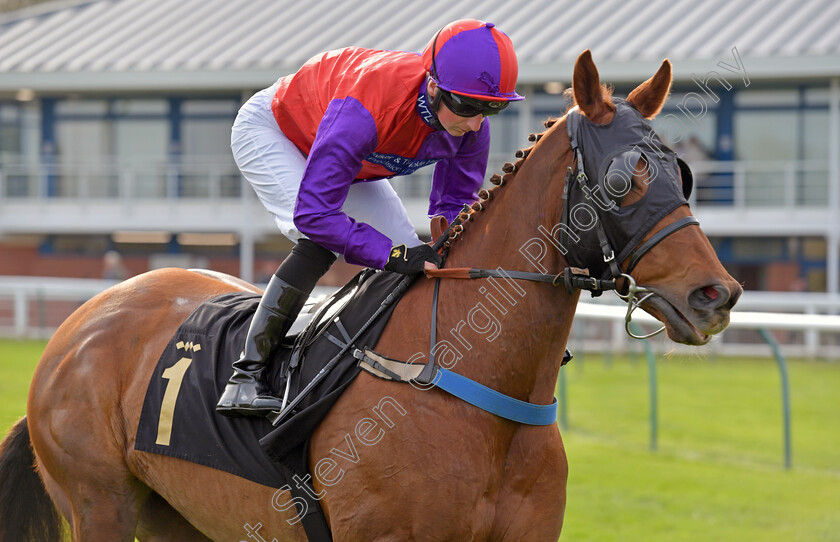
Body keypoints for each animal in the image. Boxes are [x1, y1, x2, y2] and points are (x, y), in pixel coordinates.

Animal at [0, 49, 740, 540]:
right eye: (624, 180)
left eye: (680, 172)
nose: (717, 294)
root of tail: (79, 324)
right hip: (99, 504)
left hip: (176, 516)